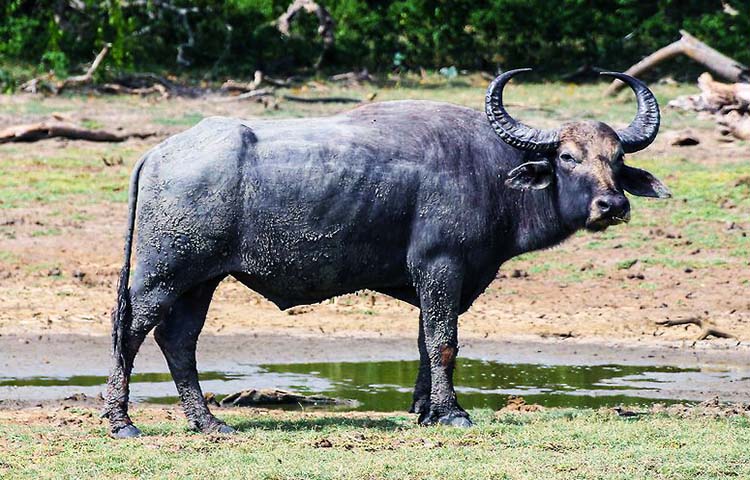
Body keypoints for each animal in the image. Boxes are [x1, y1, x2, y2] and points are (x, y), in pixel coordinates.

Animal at [101, 69, 668, 436]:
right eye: (568, 157)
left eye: (617, 159)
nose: (612, 205)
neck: (492, 172)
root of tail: (159, 152)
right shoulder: (441, 268)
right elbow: (444, 342)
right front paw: (452, 413)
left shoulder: (437, 281)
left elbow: (423, 341)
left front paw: (425, 409)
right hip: (161, 275)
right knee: (130, 332)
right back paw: (121, 421)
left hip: (201, 280)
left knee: (178, 340)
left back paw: (209, 422)